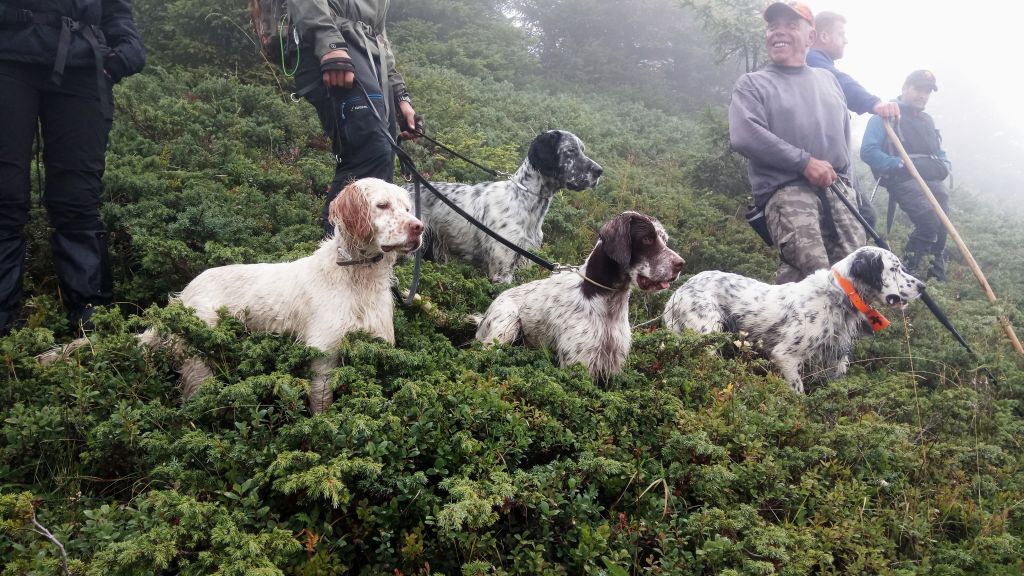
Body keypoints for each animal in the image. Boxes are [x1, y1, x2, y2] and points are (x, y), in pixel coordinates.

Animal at [405, 129, 602, 282]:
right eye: (570, 151)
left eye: (582, 150)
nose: (600, 171)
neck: (523, 201)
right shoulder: (502, 270)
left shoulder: (523, 264)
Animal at [475, 211, 684, 381]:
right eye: (647, 239)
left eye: (665, 240)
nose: (681, 263)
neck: (606, 299)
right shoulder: (579, 363)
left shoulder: (613, 366)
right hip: (506, 323)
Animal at [663, 243, 929, 391]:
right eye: (894, 269)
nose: (923, 286)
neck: (838, 294)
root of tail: (678, 291)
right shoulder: (786, 356)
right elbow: (798, 392)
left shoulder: (833, 358)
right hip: (707, 335)